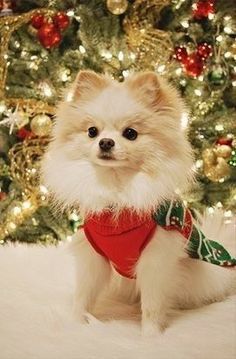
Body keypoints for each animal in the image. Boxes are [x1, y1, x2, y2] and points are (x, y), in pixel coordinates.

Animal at [42, 71, 236, 336]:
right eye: (92, 131)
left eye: (131, 133)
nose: (105, 142)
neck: (116, 188)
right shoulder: (93, 257)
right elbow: (84, 294)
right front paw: (75, 322)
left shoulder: (155, 260)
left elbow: (153, 304)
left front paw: (150, 335)